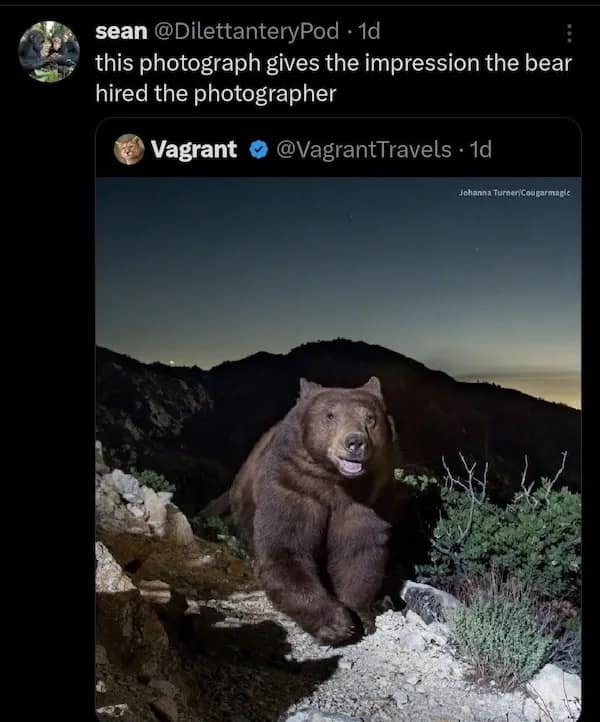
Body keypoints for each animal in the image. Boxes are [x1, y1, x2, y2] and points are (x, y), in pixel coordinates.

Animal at [229, 376, 398, 646]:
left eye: (370, 418)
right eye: (330, 415)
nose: (355, 442)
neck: (336, 484)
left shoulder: (366, 503)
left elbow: (358, 553)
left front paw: (361, 615)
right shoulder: (292, 487)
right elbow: (285, 550)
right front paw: (337, 624)